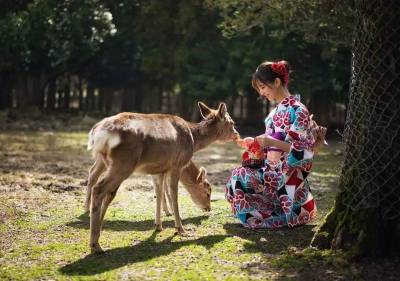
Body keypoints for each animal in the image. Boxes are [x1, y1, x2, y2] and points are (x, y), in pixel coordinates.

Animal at [86, 101, 239, 253]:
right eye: (232, 122)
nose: (237, 134)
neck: (193, 139)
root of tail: (97, 133)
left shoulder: (158, 170)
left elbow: (159, 193)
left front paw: (158, 225)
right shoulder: (176, 165)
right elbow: (173, 194)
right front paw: (181, 229)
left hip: (108, 161)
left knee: (106, 190)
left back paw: (96, 235)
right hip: (124, 162)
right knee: (99, 188)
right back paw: (95, 244)